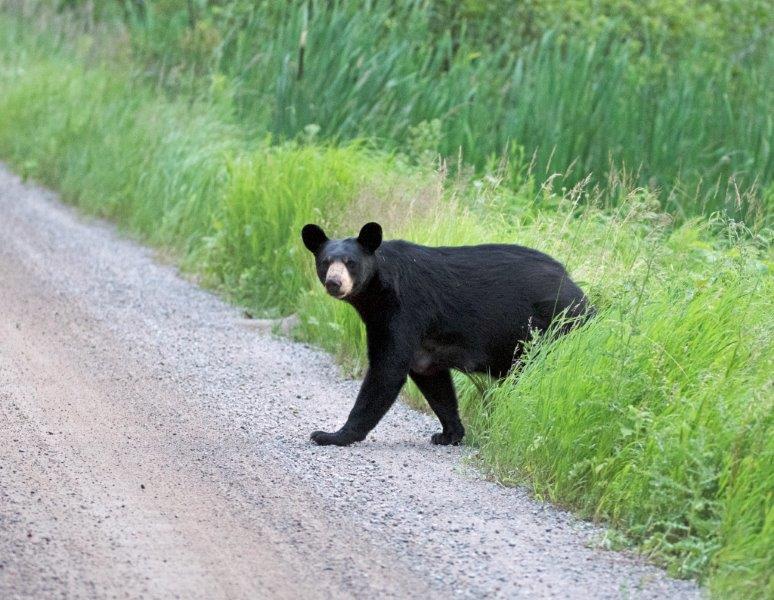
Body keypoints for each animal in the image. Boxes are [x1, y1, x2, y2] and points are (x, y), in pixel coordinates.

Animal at [301, 222, 593, 447]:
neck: (378, 293)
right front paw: (450, 434)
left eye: (350, 263)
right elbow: (432, 379)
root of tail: (584, 298)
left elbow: (387, 370)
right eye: (325, 262)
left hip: (549, 326)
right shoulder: (415, 338)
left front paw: (331, 435)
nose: (334, 282)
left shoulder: (404, 312)